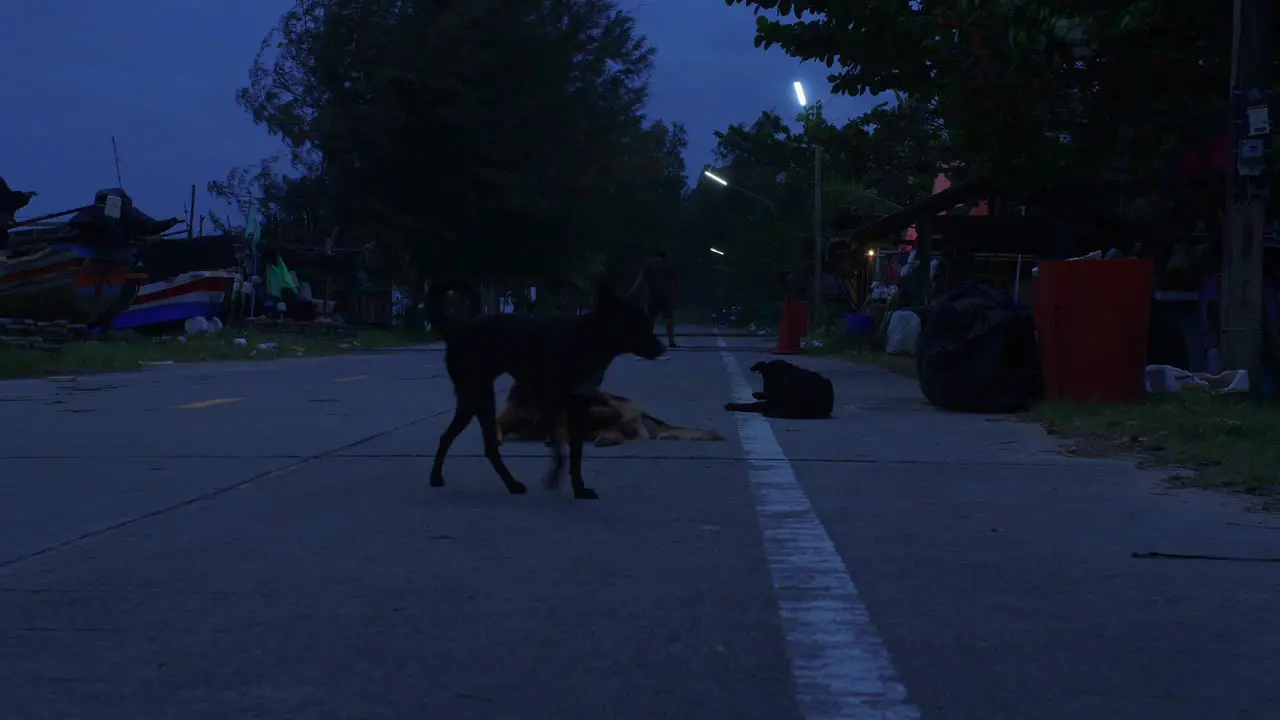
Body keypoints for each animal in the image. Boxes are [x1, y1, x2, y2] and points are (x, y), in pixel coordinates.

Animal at [430, 280, 670, 499]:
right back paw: (511, 484)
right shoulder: (548, 405)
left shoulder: (578, 407)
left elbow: (575, 453)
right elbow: (559, 450)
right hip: (480, 395)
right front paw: (554, 478)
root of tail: (457, 331)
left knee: (450, 437)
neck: (587, 340)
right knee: (486, 444)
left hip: (472, 400)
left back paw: (442, 477)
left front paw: (579, 489)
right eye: (637, 326)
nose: (662, 349)